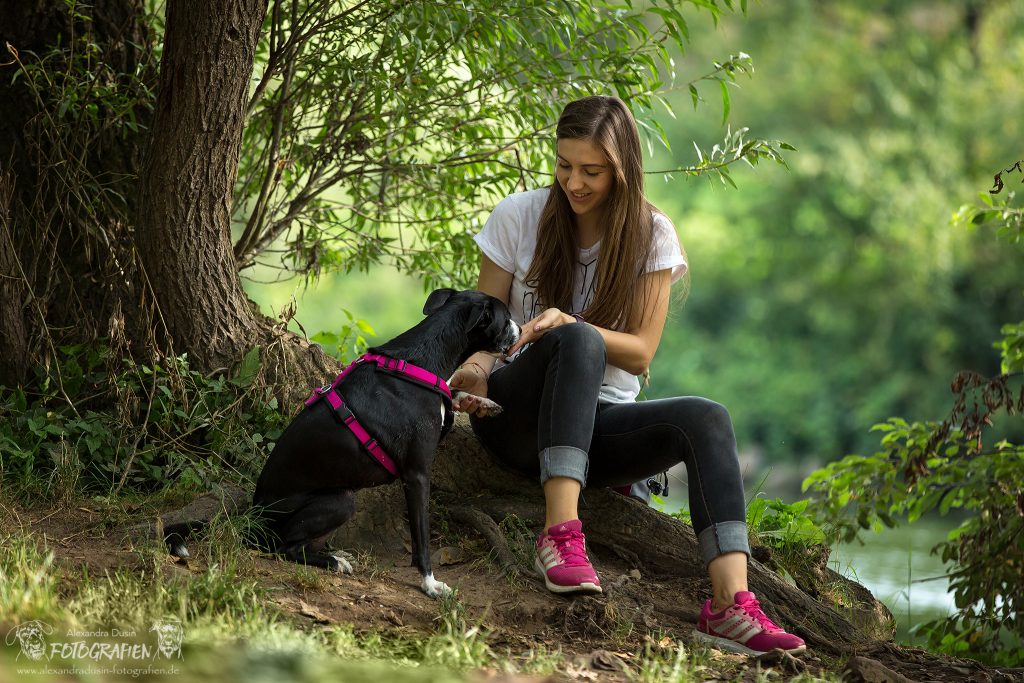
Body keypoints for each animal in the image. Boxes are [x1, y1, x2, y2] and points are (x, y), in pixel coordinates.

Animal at [248, 288, 520, 598]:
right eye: (506, 318)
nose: (522, 329)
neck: (422, 359)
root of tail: (253, 519)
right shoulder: (417, 475)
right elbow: (421, 538)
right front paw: (430, 584)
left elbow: (453, 392)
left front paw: (483, 402)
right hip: (340, 501)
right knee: (286, 547)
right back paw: (334, 562)